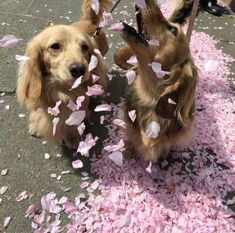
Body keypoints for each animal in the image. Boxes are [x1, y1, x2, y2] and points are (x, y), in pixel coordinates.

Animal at [16, 0, 112, 148]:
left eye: (85, 47)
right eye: (55, 46)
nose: (78, 69)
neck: (59, 91)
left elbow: (73, 123)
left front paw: (73, 137)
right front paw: (36, 127)